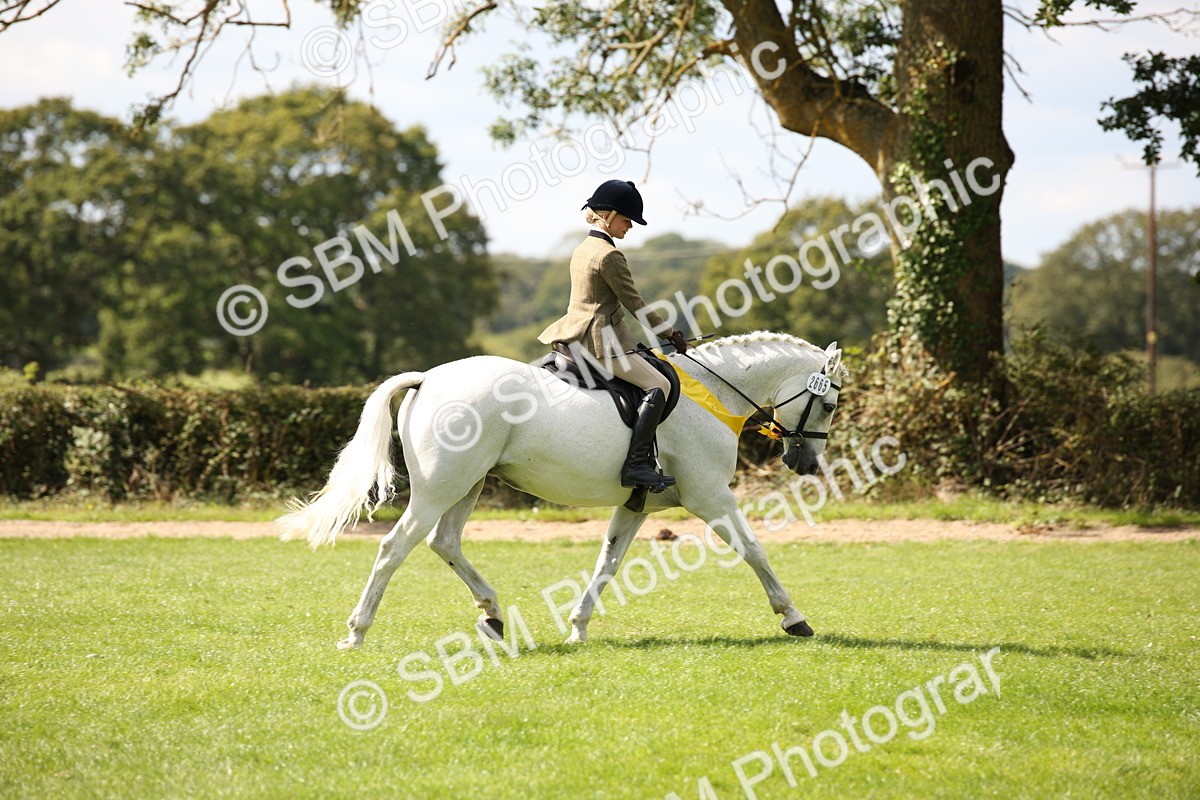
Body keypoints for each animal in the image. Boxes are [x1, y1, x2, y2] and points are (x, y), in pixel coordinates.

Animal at [277, 331, 847, 650]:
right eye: (830, 404)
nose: (805, 463)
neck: (713, 395)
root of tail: (428, 379)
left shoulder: (638, 505)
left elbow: (608, 563)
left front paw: (577, 628)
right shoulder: (711, 497)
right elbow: (754, 550)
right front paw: (794, 618)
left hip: (469, 483)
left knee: (445, 542)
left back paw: (493, 615)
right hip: (442, 487)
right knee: (395, 548)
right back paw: (356, 633)